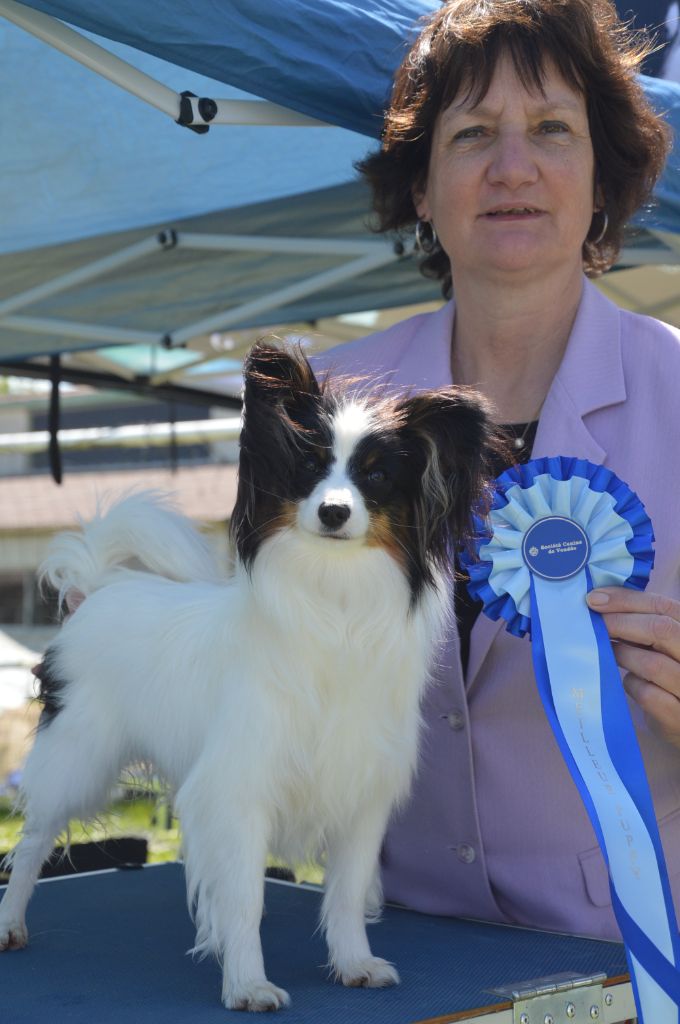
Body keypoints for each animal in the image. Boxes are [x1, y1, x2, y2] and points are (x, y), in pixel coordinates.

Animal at [0, 342, 493, 1007]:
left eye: (377, 476)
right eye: (307, 467)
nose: (333, 511)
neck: (334, 600)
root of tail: (97, 590)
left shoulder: (360, 794)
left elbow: (344, 895)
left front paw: (354, 963)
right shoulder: (239, 789)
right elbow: (243, 901)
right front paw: (248, 983)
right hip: (78, 759)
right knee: (32, 843)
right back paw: (10, 924)